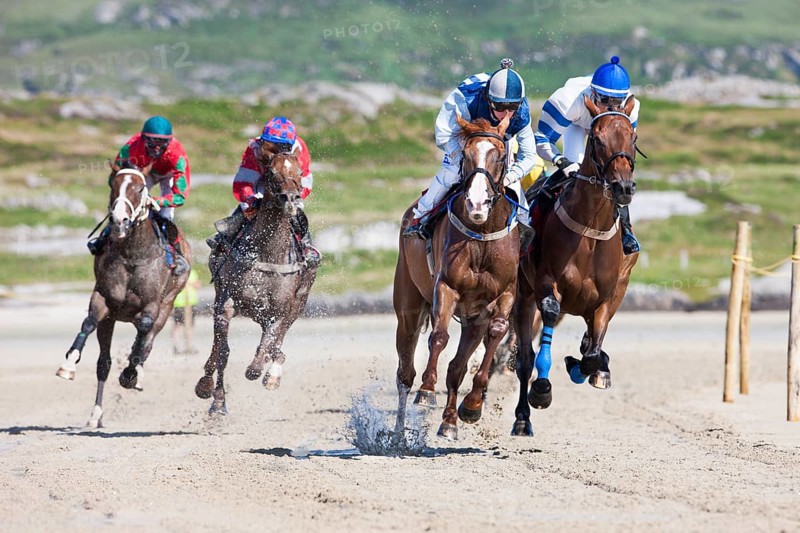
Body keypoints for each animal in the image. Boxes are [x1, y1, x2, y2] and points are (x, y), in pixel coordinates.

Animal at [56, 163, 192, 428]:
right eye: (113, 185)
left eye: (140, 189)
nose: (119, 220)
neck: (133, 255)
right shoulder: (103, 299)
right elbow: (89, 324)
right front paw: (68, 364)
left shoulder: (152, 305)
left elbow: (144, 333)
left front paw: (131, 374)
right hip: (111, 320)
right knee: (104, 363)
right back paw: (96, 414)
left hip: (168, 305)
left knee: (147, 340)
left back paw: (136, 371)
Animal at [195, 151, 317, 415]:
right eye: (271, 171)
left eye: (299, 172)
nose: (291, 198)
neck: (267, 254)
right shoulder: (227, 303)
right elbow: (223, 352)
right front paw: (216, 398)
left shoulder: (280, 312)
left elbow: (265, 351)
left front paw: (263, 370)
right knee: (217, 348)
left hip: (299, 303)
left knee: (278, 342)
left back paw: (273, 374)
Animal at [394, 114, 521, 441]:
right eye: (465, 154)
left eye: (500, 156)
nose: (477, 204)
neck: (482, 235)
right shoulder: (447, 288)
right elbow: (439, 337)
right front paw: (427, 390)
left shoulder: (502, 296)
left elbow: (496, 331)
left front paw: (472, 405)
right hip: (408, 305)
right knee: (404, 373)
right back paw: (398, 432)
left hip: (472, 322)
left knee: (457, 367)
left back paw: (449, 421)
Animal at [511, 94, 640, 437]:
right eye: (596, 138)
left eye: (633, 137)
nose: (623, 187)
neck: (590, 229)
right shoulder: (547, 285)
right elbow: (548, 322)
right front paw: (542, 390)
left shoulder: (608, 298)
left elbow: (593, 353)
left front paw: (589, 366)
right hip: (523, 296)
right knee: (525, 358)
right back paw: (522, 417)